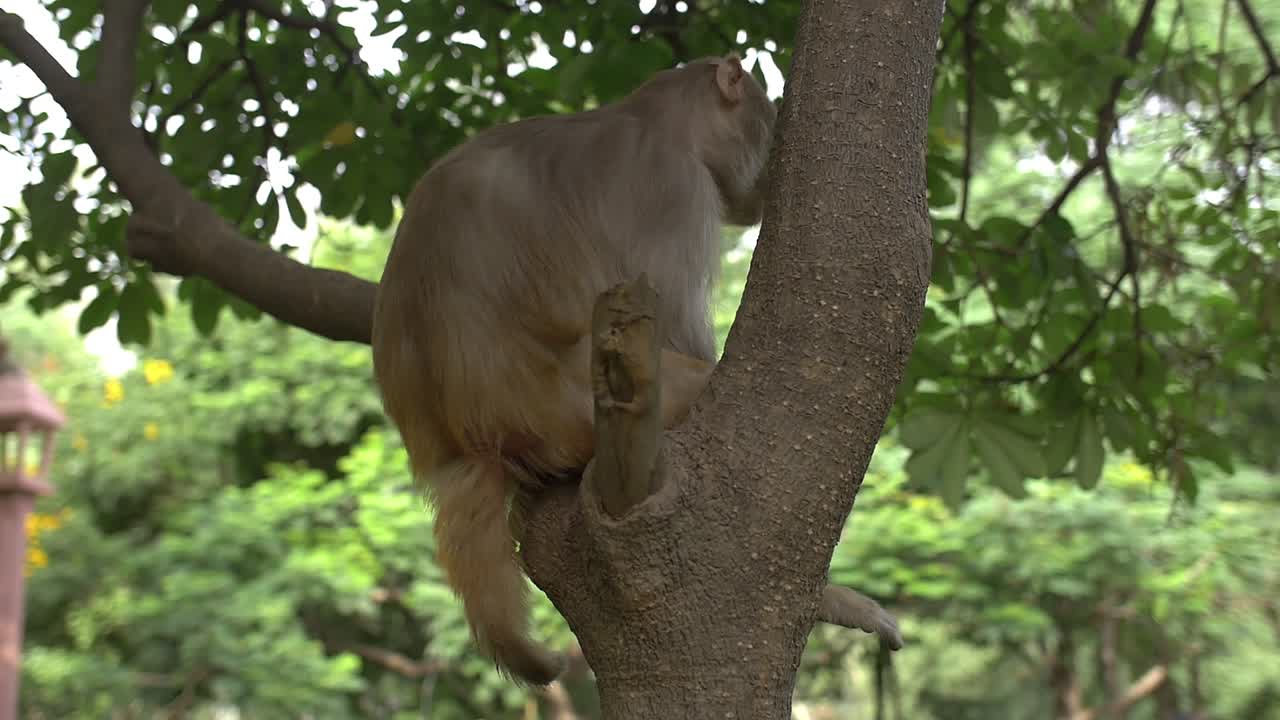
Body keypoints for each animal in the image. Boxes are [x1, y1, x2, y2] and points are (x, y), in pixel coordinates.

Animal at [372, 54, 900, 686]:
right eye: (768, 125)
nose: (766, 182)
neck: (655, 119)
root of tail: (465, 444)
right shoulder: (677, 189)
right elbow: (676, 325)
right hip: (572, 413)